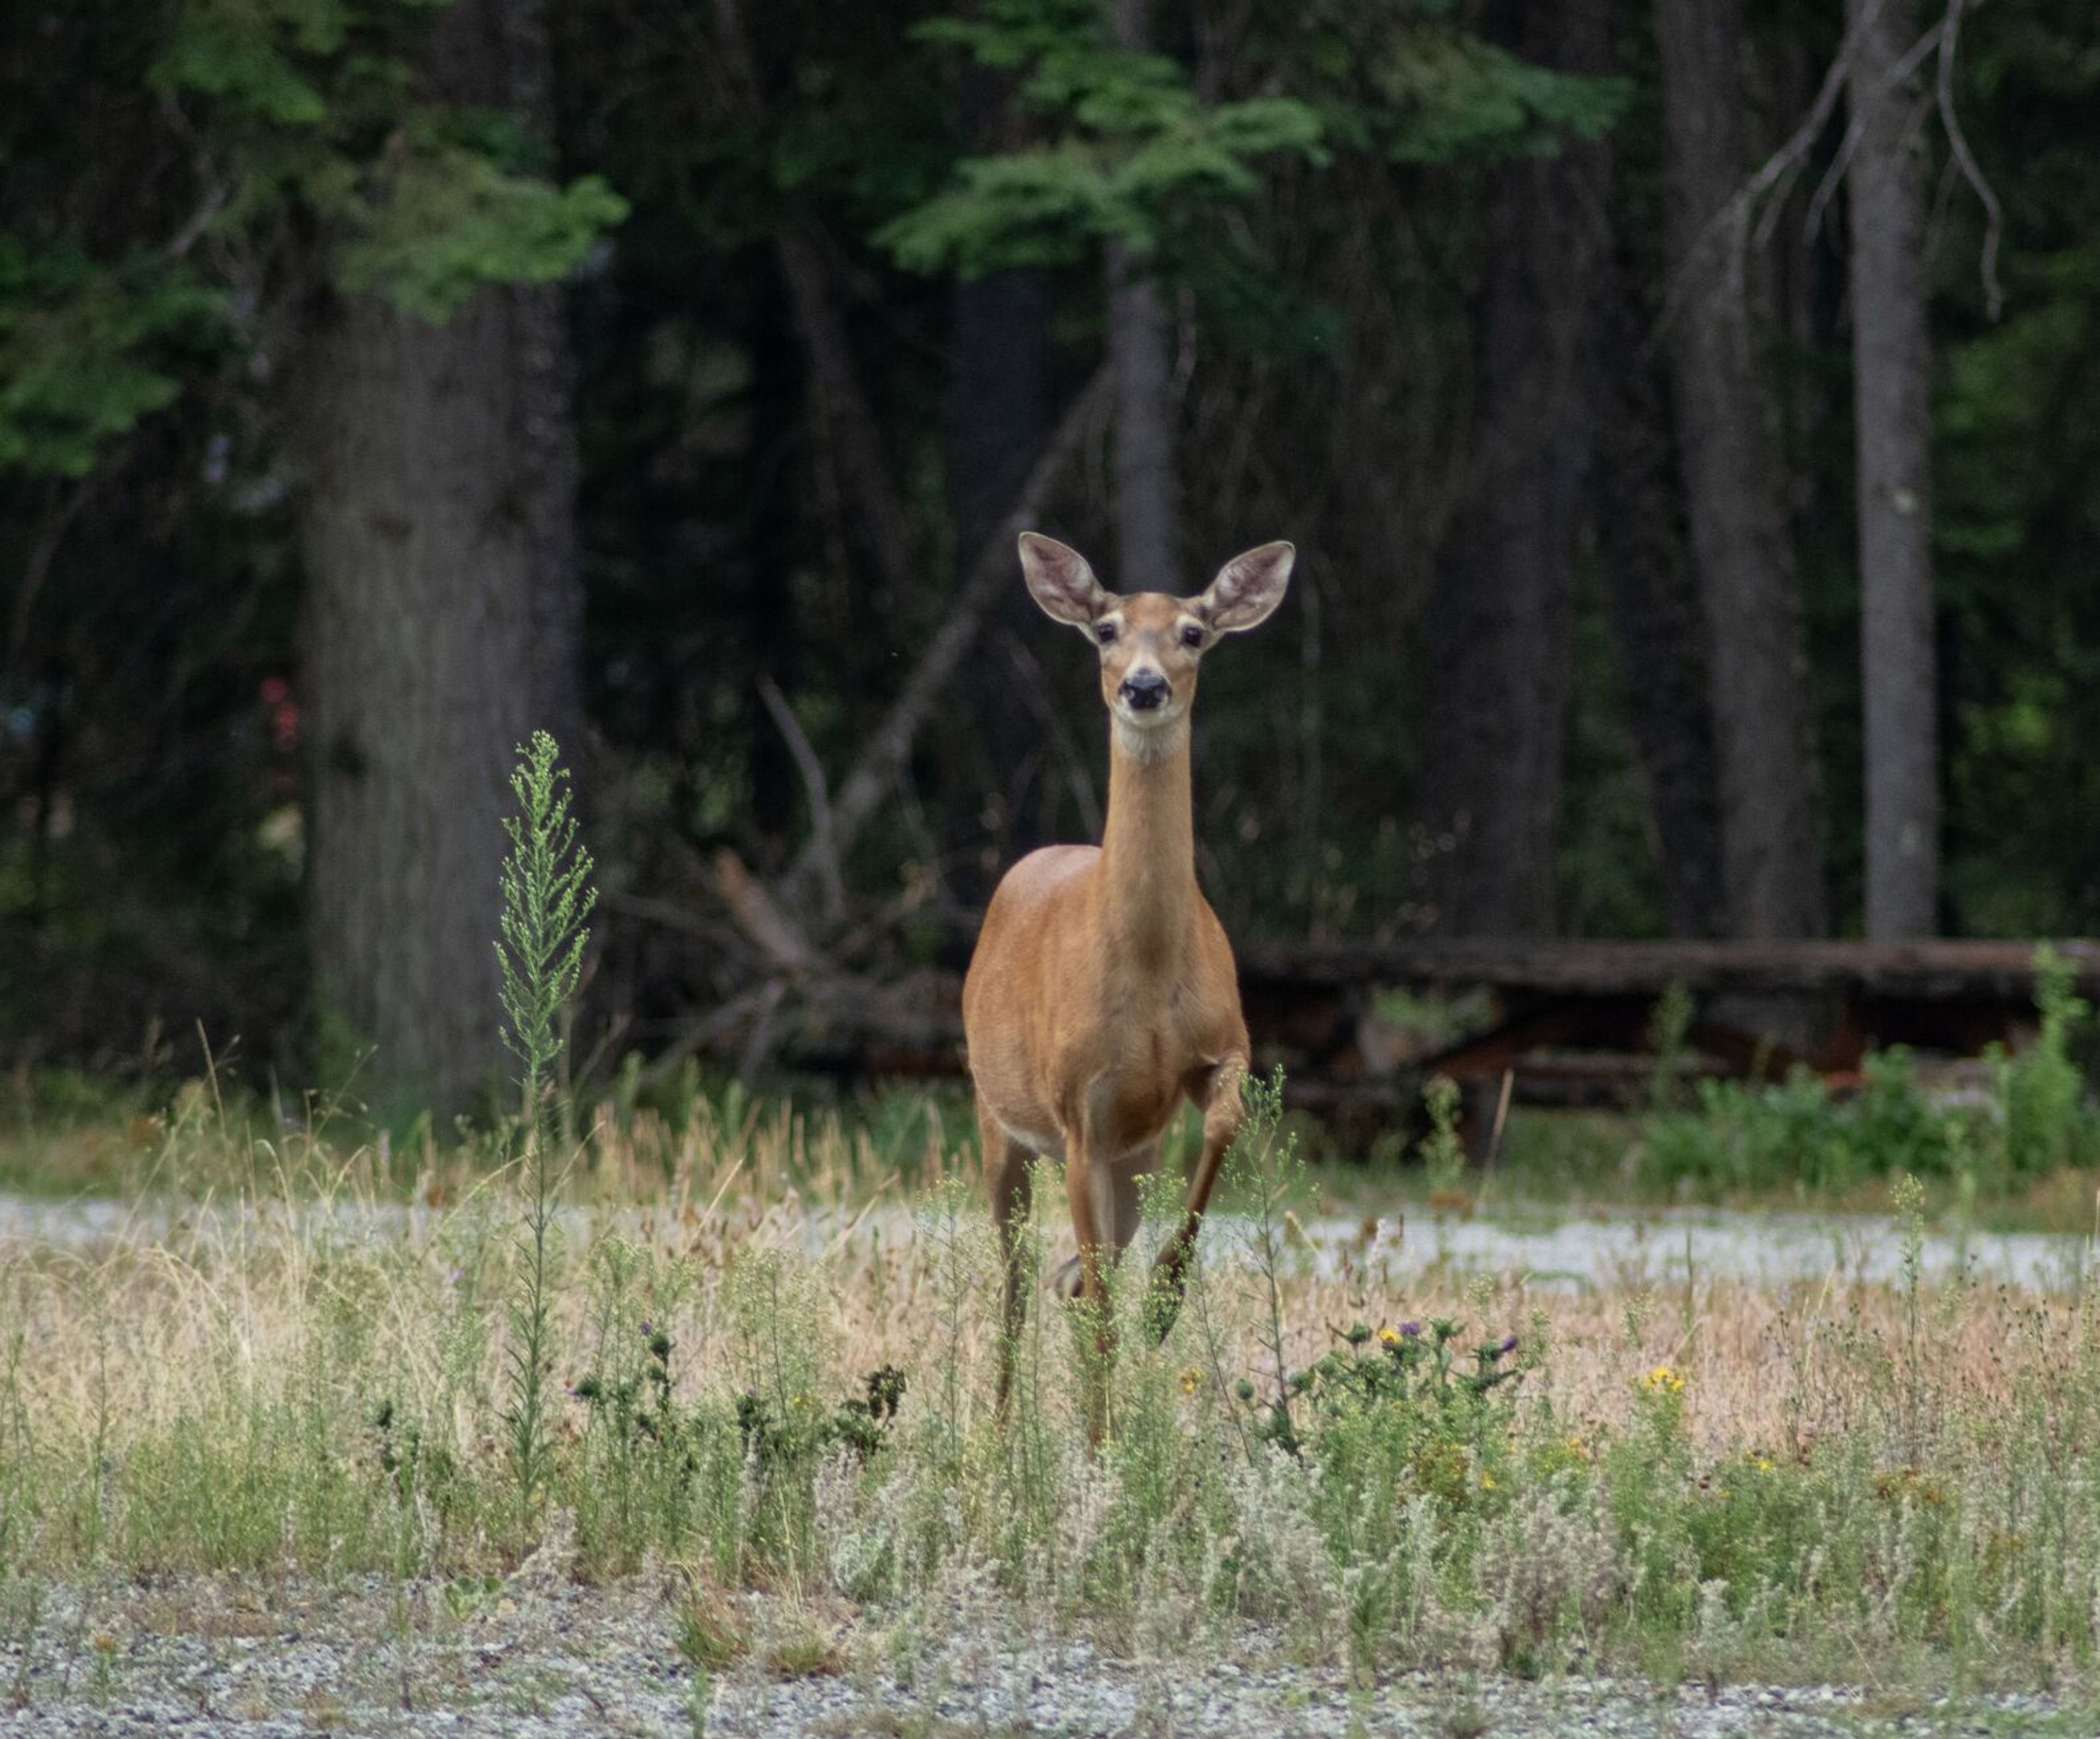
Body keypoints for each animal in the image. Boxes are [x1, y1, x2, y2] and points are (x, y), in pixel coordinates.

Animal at [966, 529, 1293, 1436]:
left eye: (1193, 632)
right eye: (1107, 629)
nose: (1143, 687)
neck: (1146, 971)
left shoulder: (1220, 1048)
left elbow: (1224, 1127)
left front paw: (1168, 1299)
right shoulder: (1079, 1104)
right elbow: (1100, 1308)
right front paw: (1102, 1442)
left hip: (1131, 1158)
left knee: (1070, 1272)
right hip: (998, 1119)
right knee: (1011, 1284)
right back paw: (1000, 1434)